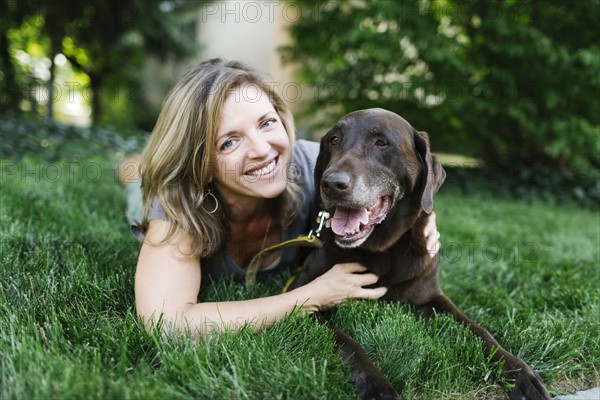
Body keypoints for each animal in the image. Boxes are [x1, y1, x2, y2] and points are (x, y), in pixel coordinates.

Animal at [288, 108, 552, 400]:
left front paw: (519, 373)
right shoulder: (303, 299)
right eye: (334, 140)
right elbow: (346, 343)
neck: (383, 248)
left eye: (381, 143)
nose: (332, 184)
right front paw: (376, 385)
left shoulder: (432, 296)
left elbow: (480, 330)